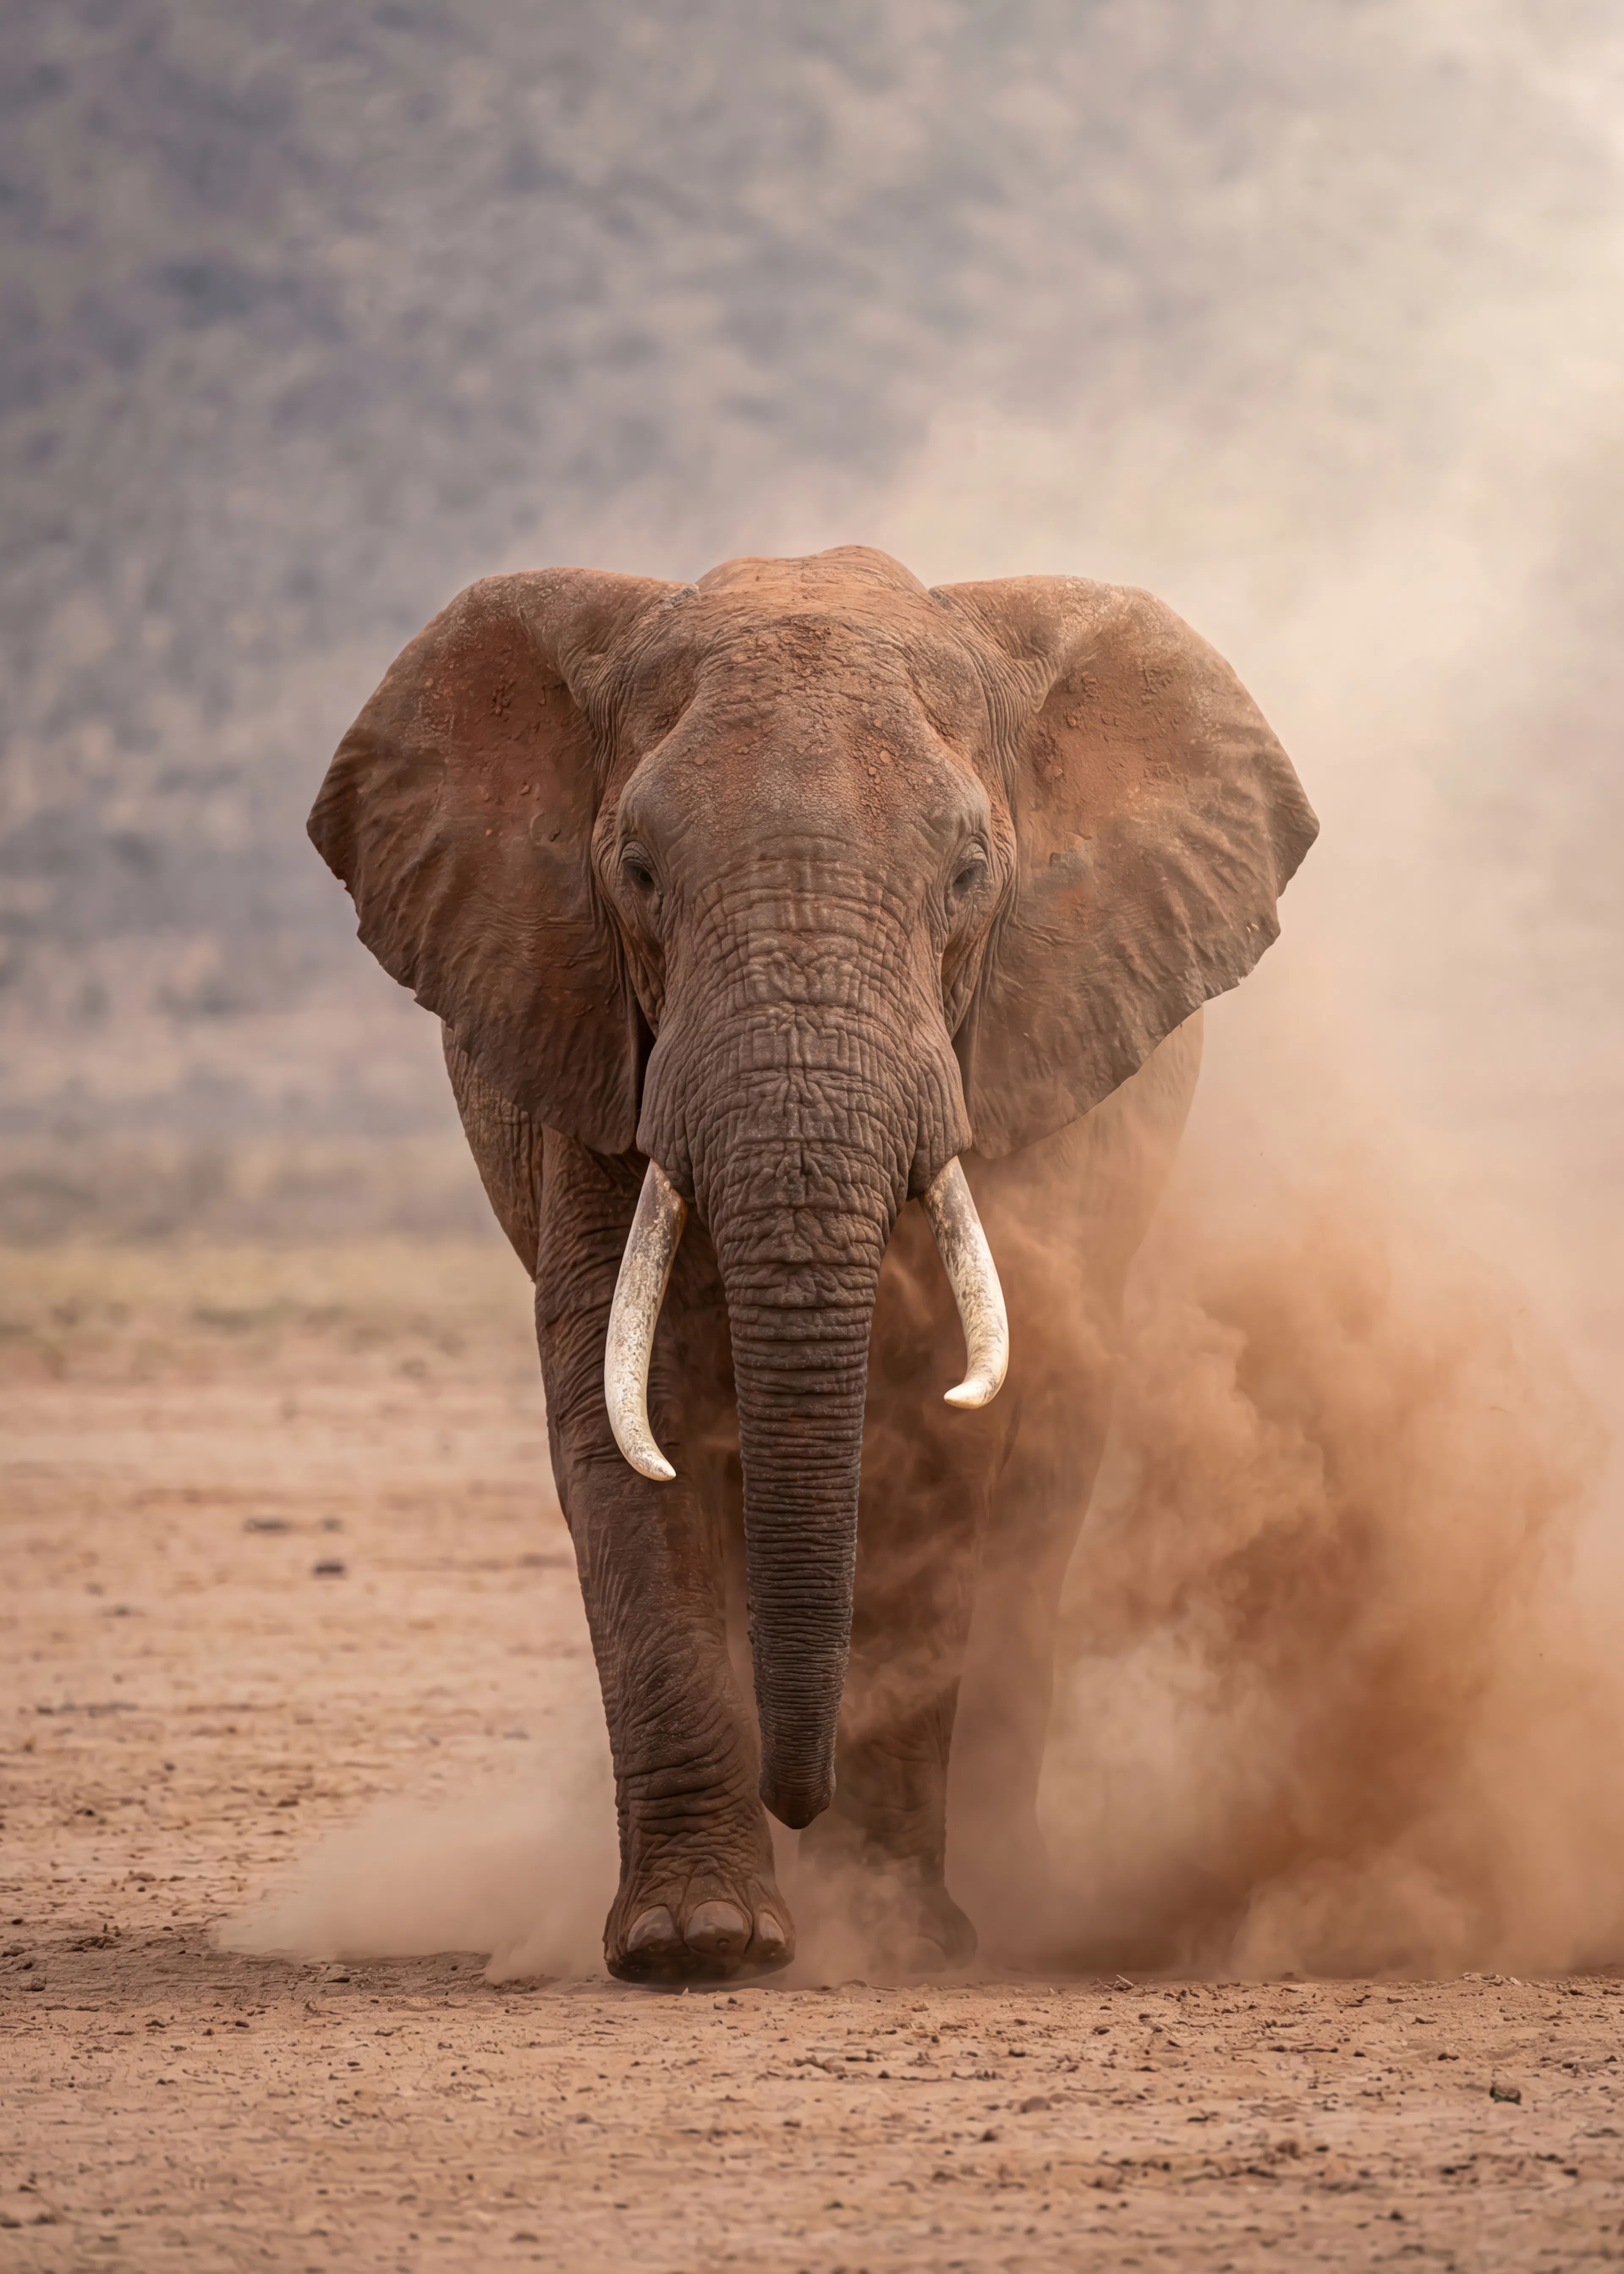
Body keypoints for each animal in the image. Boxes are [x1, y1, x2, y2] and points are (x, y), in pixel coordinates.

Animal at [308, 544, 1316, 1983]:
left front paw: (895, 1939)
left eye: (968, 876)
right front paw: (702, 1943)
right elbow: (629, 1421)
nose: (802, 1799)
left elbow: (945, 1439)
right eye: (636, 873)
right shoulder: (595, 1053)